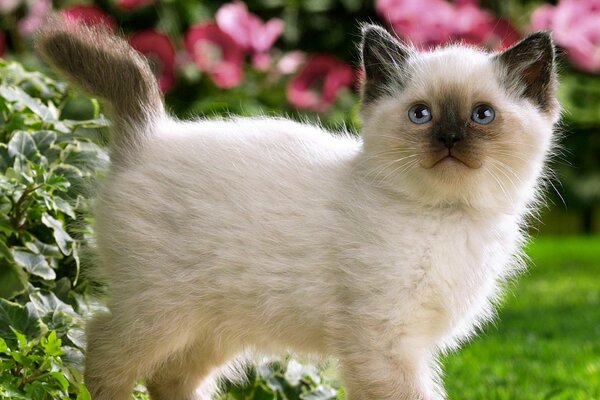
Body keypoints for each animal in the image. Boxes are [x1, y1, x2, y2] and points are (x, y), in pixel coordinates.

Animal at [37, 20, 560, 400]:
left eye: (482, 115)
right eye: (421, 115)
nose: (449, 139)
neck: (447, 216)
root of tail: (149, 134)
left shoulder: (407, 344)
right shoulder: (384, 343)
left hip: (212, 325)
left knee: (169, 378)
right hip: (159, 310)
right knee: (100, 350)